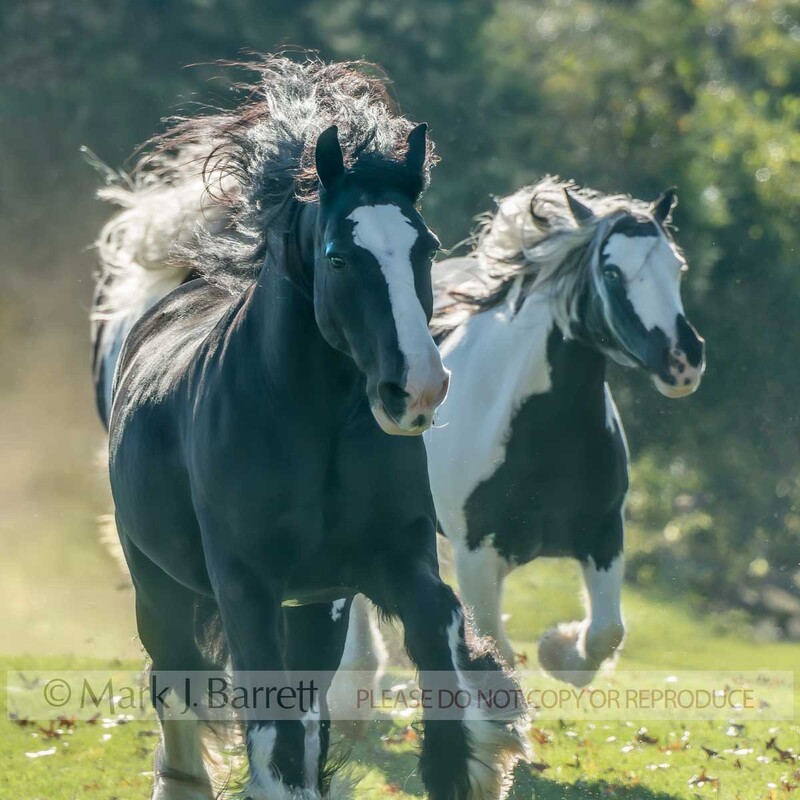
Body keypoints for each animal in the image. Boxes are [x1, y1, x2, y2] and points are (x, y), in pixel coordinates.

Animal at [90, 57, 527, 800]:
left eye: (427, 246)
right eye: (337, 257)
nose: (416, 388)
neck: (310, 428)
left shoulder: (382, 564)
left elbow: (439, 626)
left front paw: (465, 763)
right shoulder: (247, 586)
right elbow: (271, 729)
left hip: (317, 609)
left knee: (310, 702)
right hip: (158, 584)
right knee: (176, 680)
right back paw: (183, 778)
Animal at [337, 177, 706, 692]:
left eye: (677, 266)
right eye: (612, 272)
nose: (683, 359)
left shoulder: (604, 534)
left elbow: (607, 631)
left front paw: (558, 648)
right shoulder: (475, 552)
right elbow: (495, 651)